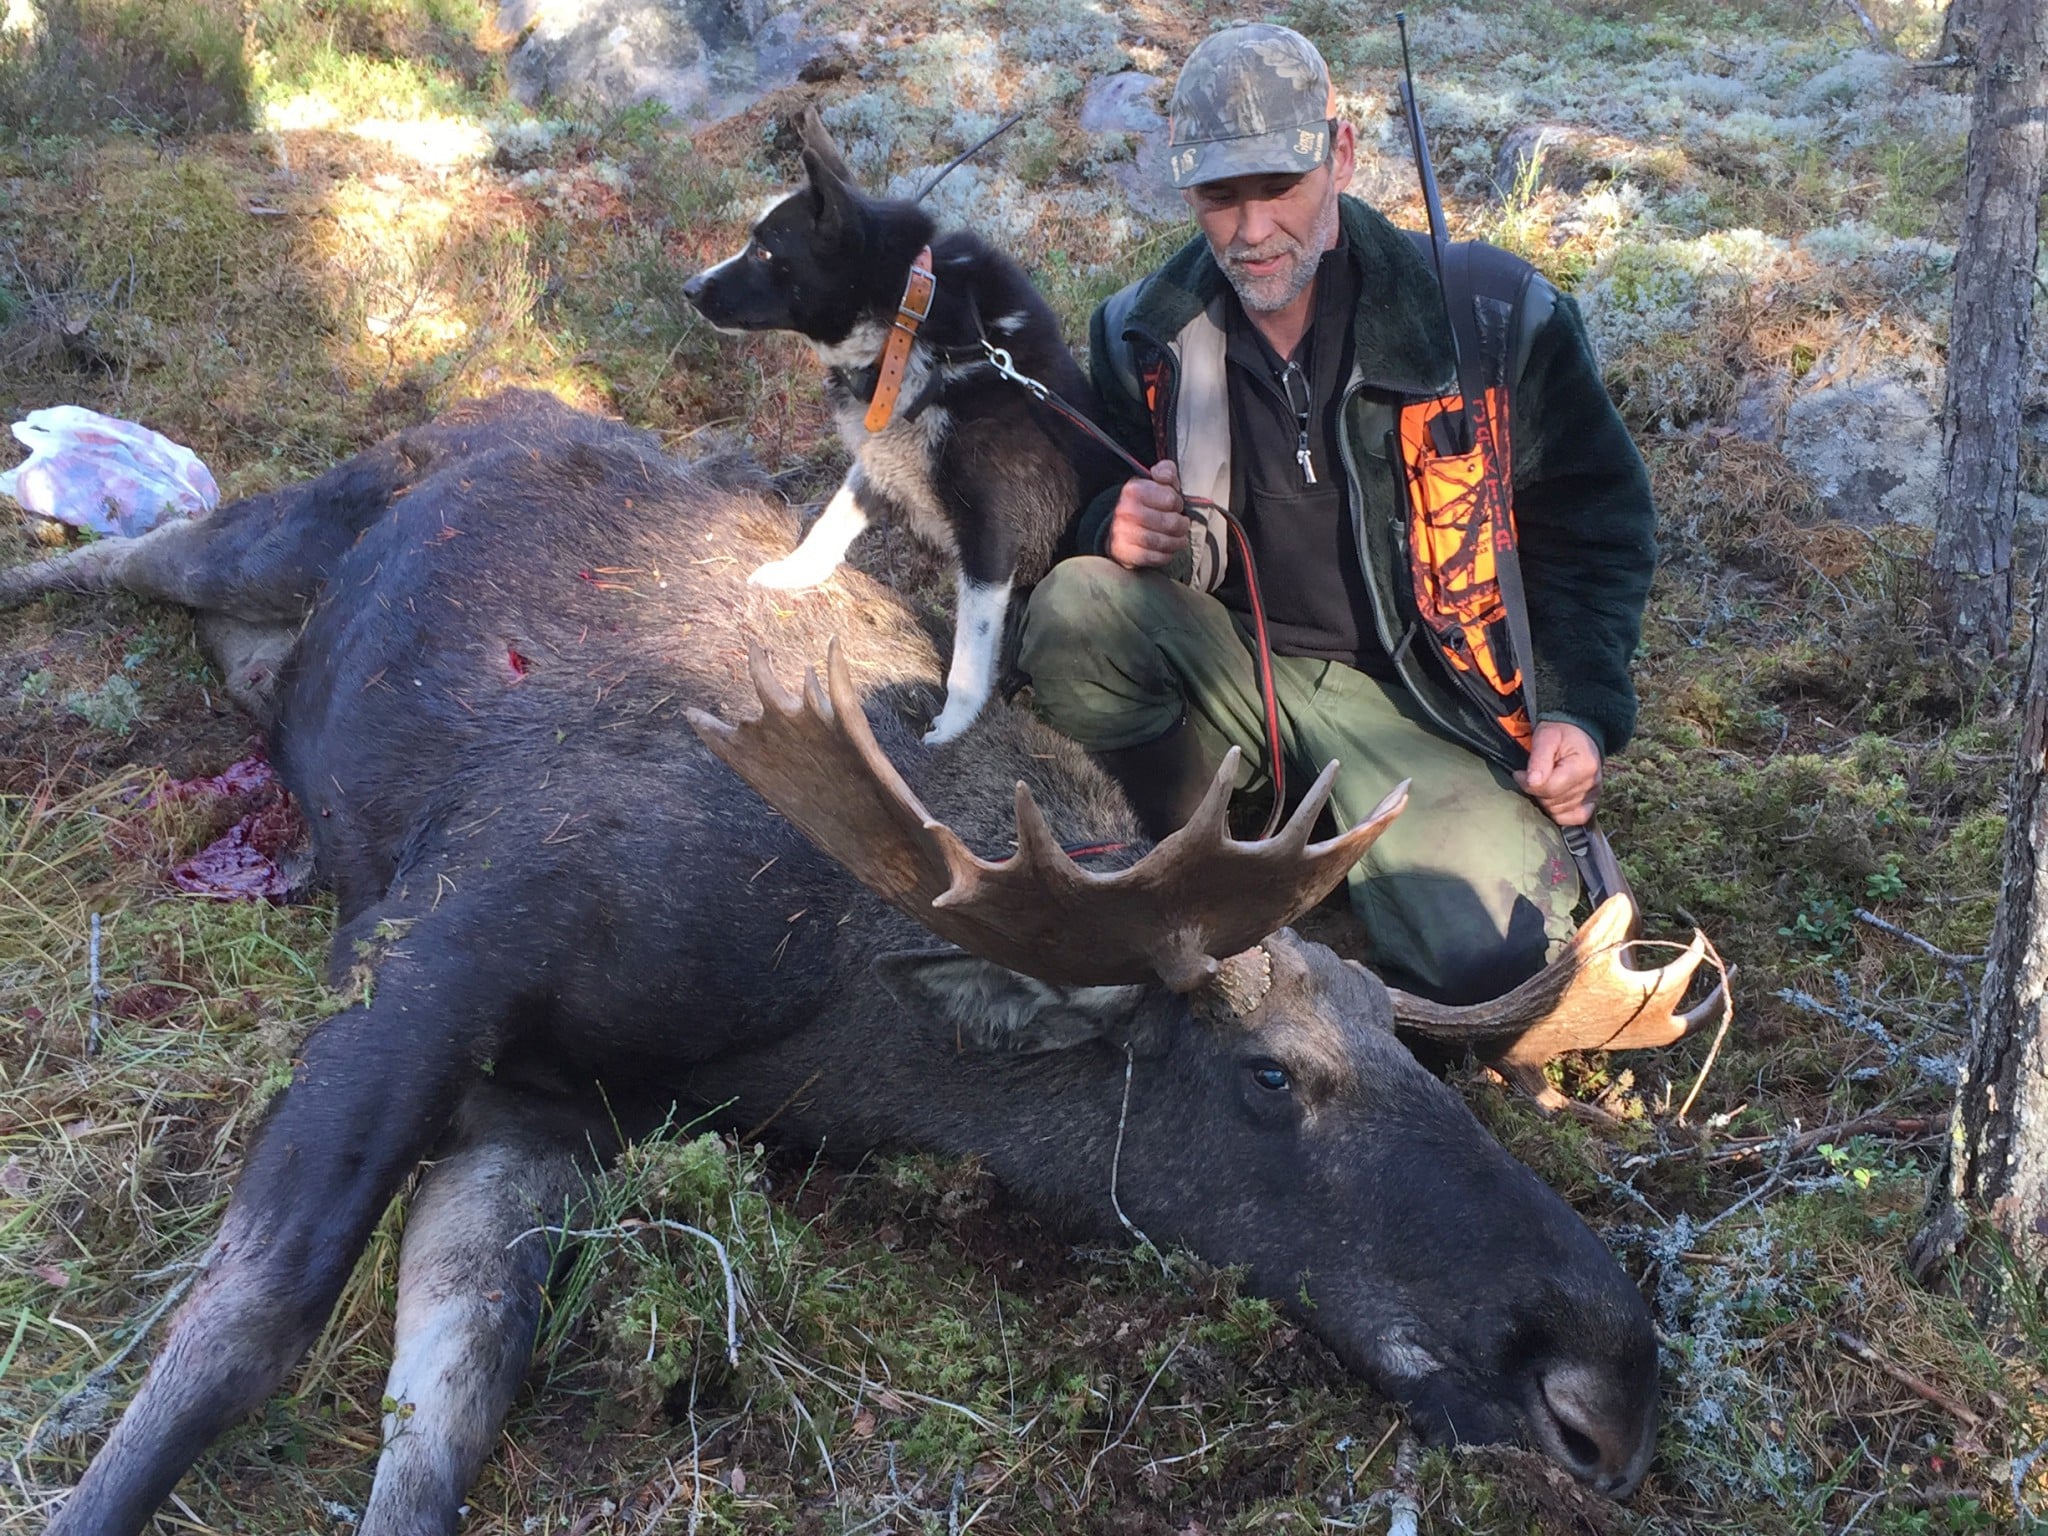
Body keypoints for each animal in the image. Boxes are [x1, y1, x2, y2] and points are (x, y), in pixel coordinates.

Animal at [4, 393, 1712, 1536]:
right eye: (1270, 1077)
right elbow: (248, 1317)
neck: (813, 1015)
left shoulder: (557, 1106)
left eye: (1401, 1046)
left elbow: (447, 1409)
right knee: (135, 554)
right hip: (293, 517)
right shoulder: (450, 936)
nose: (1609, 1384)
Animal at [684, 109, 1122, 745]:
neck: (909, 324)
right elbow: (830, 525)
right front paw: (793, 574)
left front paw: (953, 727)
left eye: (764, 251)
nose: (689, 289)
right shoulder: (882, 461)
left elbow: (968, 655)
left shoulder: (993, 533)